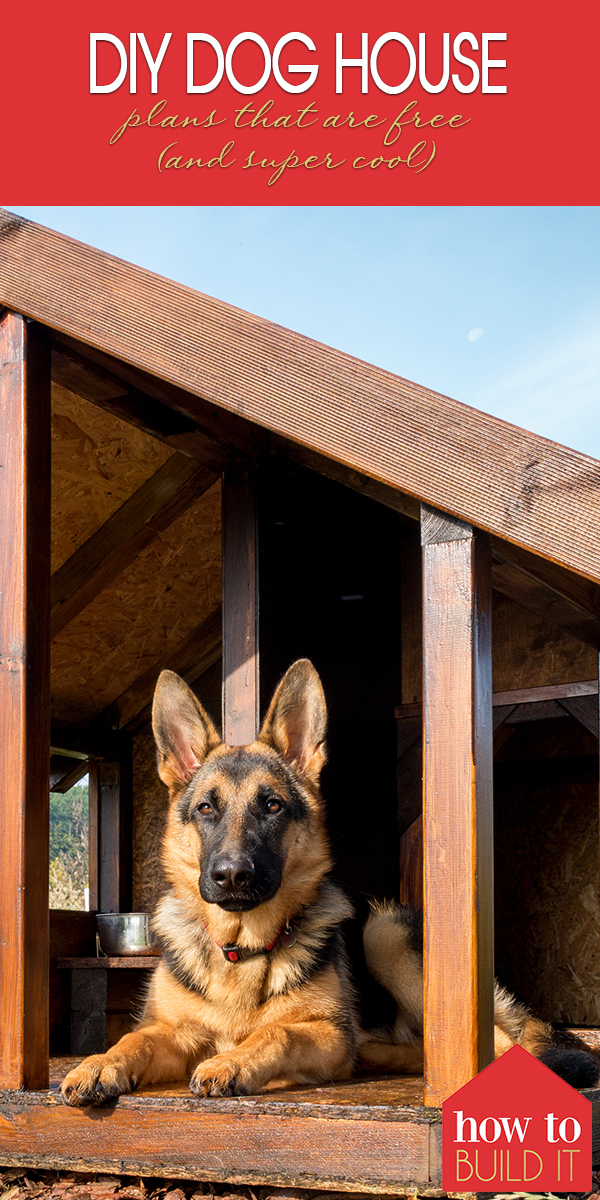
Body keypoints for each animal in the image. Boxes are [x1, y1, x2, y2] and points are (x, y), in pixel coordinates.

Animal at [62, 657, 600, 1104]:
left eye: (271, 805)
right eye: (206, 808)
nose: (232, 875)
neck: (241, 949)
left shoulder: (323, 1032)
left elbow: (277, 1032)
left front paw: (233, 1062)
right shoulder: (173, 1031)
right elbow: (132, 1038)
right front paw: (98, 1063)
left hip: (384, 934)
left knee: (502, 1043)